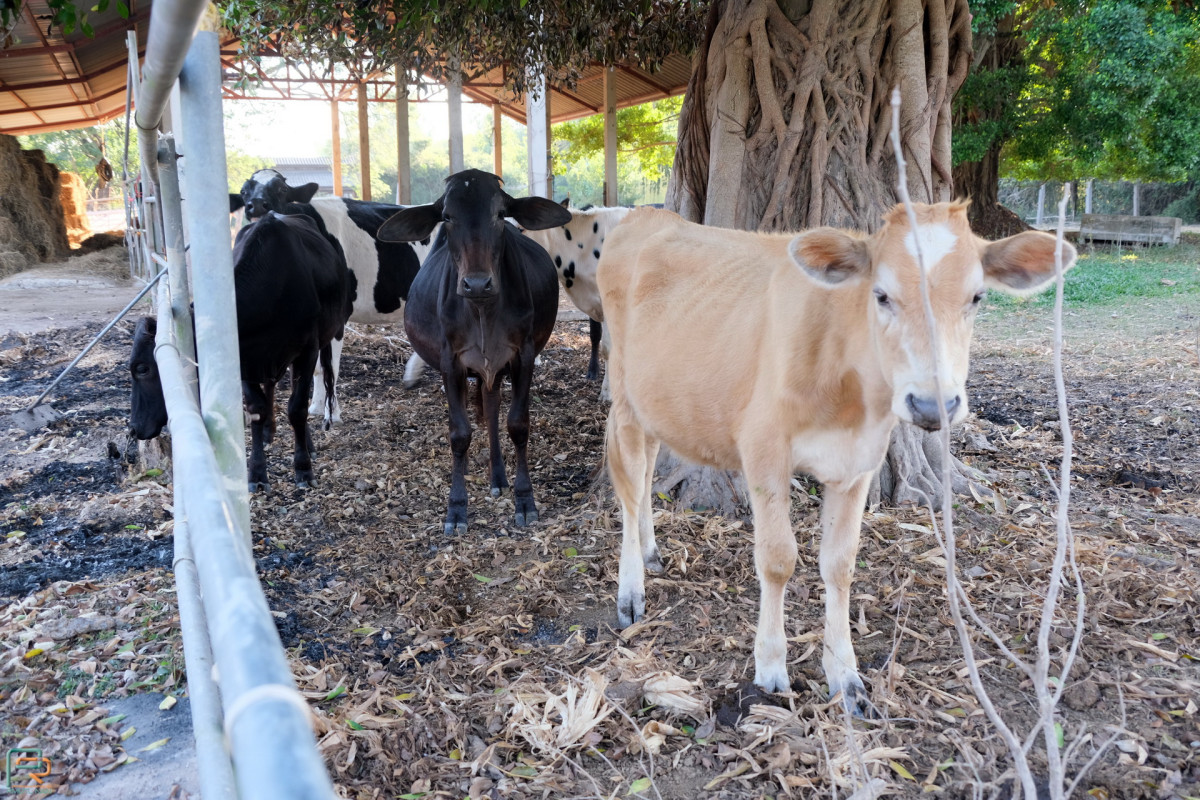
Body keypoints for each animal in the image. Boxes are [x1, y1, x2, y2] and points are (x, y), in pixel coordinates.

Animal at [129, 211, 353, 492]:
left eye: (142, 368)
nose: (134, 428)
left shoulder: (307, 351)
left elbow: (297, 407)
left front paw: (303, 469)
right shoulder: (244, 359)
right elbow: (257, 408)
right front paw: (256, 472)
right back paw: (269, 432)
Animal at [229, 169, 434, 422]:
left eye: (282, 189)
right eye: (243, 191)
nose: (256, 204)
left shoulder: (339, 315)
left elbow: (330, 366)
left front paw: (331, 413)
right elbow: (316, 367)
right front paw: (316, 407)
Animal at [377, 169, 572, 534]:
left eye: (500, 214)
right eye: (447, 216)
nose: (477, 283)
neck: (482, 310)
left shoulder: (523, 357)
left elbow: (517, 425)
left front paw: (525, 500)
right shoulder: (450, 363)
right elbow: (459, 433)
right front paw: (456, 507)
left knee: (493, 412)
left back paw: (497, 476)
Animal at [598, 201, 1075, 713]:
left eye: (977, 297)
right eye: (881, 295)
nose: (933, 406)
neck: (848, 392)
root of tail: (643, 214)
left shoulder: (858, 461)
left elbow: (840, 564)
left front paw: (845, 676)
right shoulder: (764, 448)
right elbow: (777, 559)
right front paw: (771, 669)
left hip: (655, 403)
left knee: (648, 471)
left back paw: (650, 550)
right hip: (623, 394)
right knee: (630, 487)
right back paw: (629, 592)